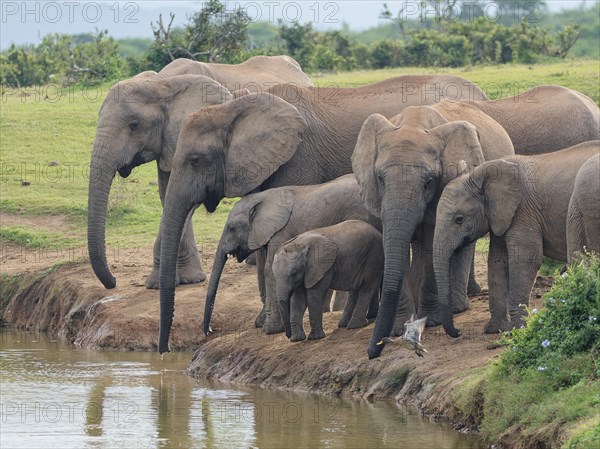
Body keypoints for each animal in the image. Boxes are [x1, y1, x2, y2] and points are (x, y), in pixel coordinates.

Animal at [88, 55, 314, 290]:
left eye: (133, 124)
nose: (113, 282)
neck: (161, 83)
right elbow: (168, 195)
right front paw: (172, 281)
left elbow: (185, 200)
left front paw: (171, 281)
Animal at [202, 175, 380, 336]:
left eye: (232, 229)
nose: (209, 331)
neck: (262, 198)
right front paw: (261, 324)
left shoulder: (281, 231)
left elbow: (268, 269)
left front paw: (270, 330)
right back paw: (371, 316)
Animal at [354, 100, 512, 358]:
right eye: (380, 178)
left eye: (429, 182)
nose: (373, 351)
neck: (414, 123)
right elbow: (390, 242)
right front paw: (400, 326)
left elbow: (431, 244)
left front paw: (430, 321)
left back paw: (455, 307)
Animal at [434, 141, 596, 336]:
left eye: (459, 219)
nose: (458, 331)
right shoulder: (500, 217)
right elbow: (497, 262)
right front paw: (494, 330)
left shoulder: (523, 211)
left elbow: (525, 260)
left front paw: (517, 330)